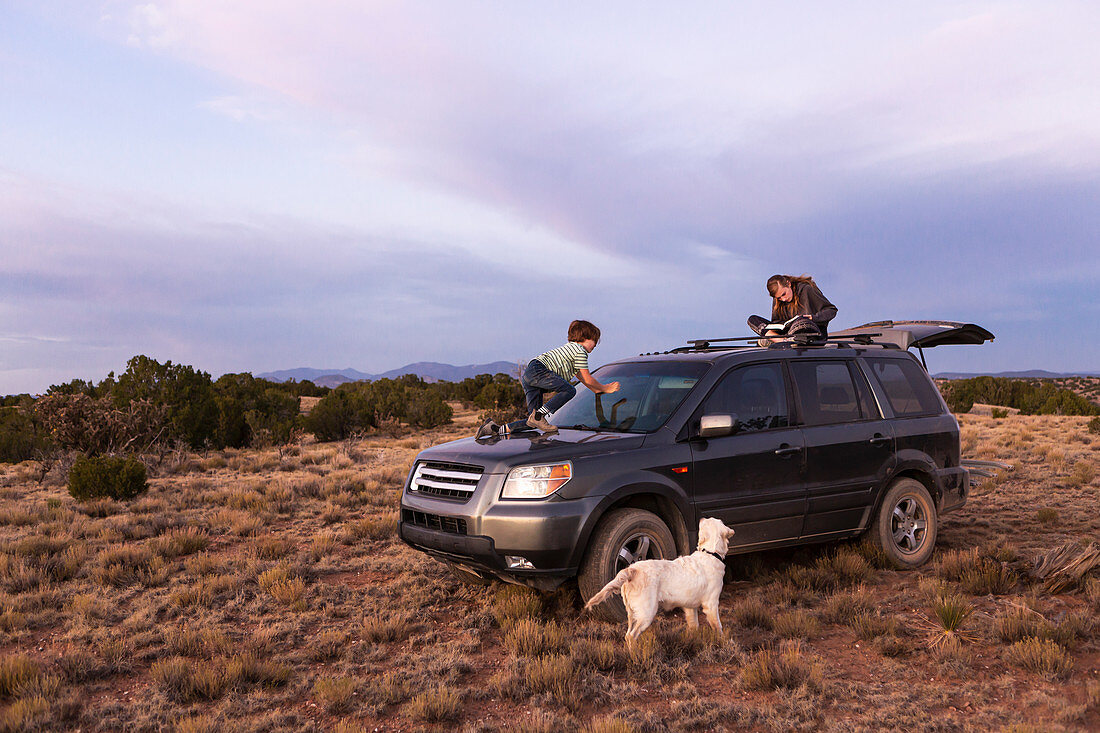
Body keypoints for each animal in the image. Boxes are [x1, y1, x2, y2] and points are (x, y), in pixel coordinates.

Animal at [585, 512, 739, 638]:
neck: (710, 553)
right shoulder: (711, 604)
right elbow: (718, 627)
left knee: (628, 634)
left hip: (631, 613)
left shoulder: (690, 607)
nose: (700, 518)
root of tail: (632, 569)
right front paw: (723, 642)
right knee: (632, 635)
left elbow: (694, 626)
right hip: (647, 612)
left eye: (707, 521)